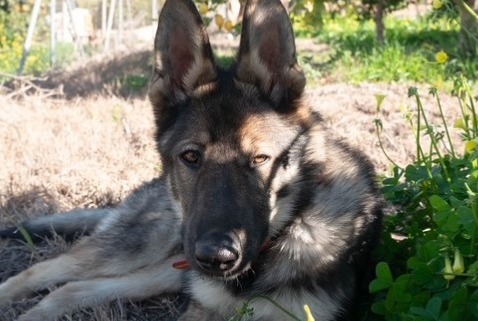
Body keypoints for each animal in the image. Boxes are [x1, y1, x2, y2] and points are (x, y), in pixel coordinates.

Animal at [0, 0, 382, 320]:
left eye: (260, 158)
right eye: (191, 156)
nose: (216, 256)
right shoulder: (200, 305)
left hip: (165, 270)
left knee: (71, 289)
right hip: (144, 249)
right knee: (45, 270)